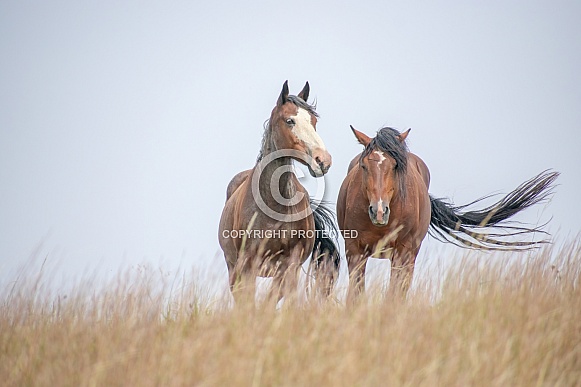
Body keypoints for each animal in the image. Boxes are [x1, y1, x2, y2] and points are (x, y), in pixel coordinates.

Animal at [220, 82, 342, 306]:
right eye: (289, 120)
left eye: (313, 121)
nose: (323, 160)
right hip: (234, 268)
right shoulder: (247, 264)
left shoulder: (290, 264)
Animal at [338, 126, 560, 302]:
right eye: (364, 166)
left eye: (395, 166)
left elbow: (394, 296)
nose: (379, 211)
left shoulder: (403, 254)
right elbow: (356, 295)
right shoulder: (355, 251)